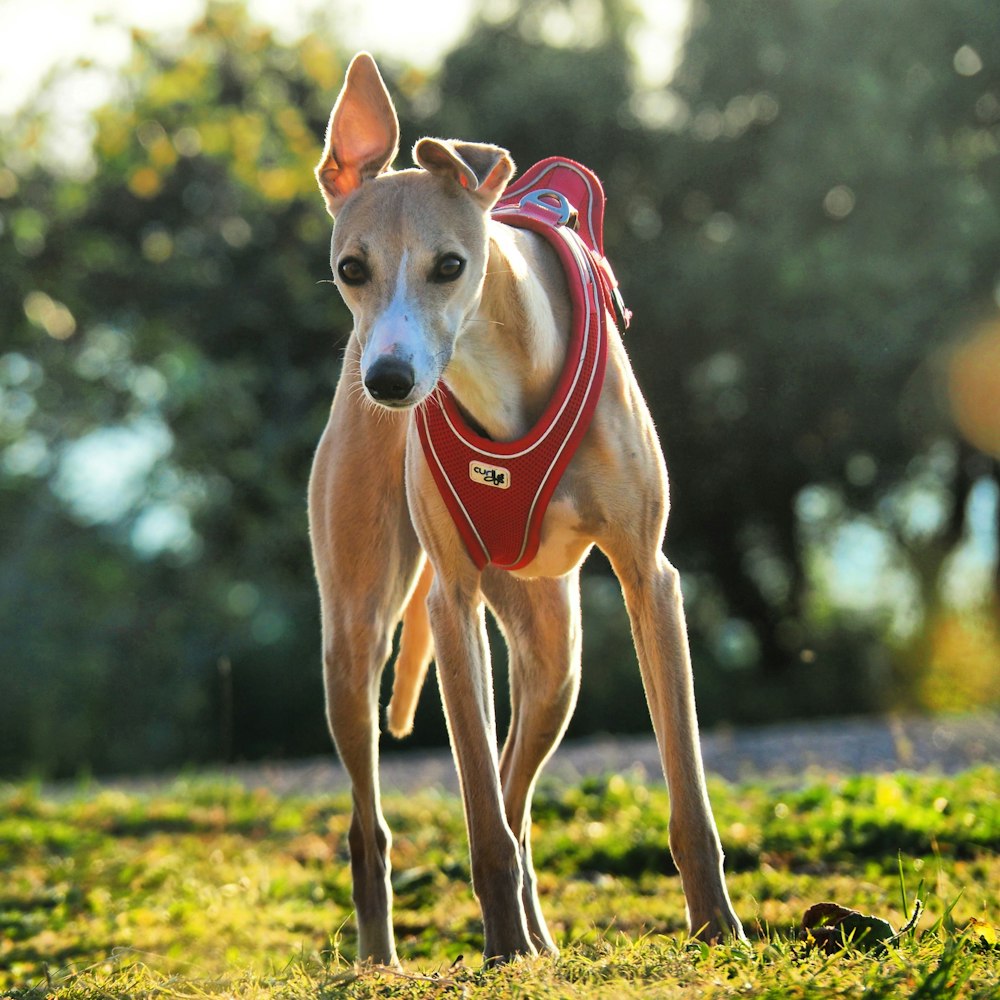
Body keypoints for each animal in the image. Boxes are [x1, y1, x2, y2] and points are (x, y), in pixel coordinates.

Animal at [308, 50, 748, 964]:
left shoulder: (648, 576)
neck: (499, 375)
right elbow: (478, 808)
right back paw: (388, 958)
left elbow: (685, 793)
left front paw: (719, 932)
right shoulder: (452, 600)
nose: (389, 384)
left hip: (553, 657)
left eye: (449, 265)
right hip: (359, 635)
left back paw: (540, 940)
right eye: (351, 269)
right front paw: (502, 947)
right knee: (377, 824)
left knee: (517, 787)